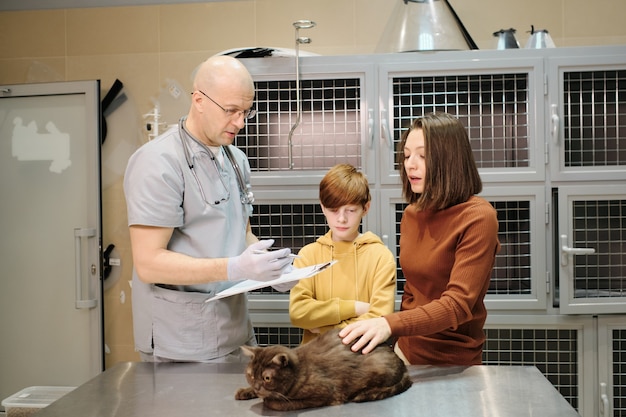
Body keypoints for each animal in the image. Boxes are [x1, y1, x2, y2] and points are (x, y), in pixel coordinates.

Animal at [233, 328, 410, 410]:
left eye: (267, 378)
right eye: (251, 375)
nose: (257, 387)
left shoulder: (325, 394)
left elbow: (275, 402)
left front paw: (267, 399)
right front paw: (245, 391)